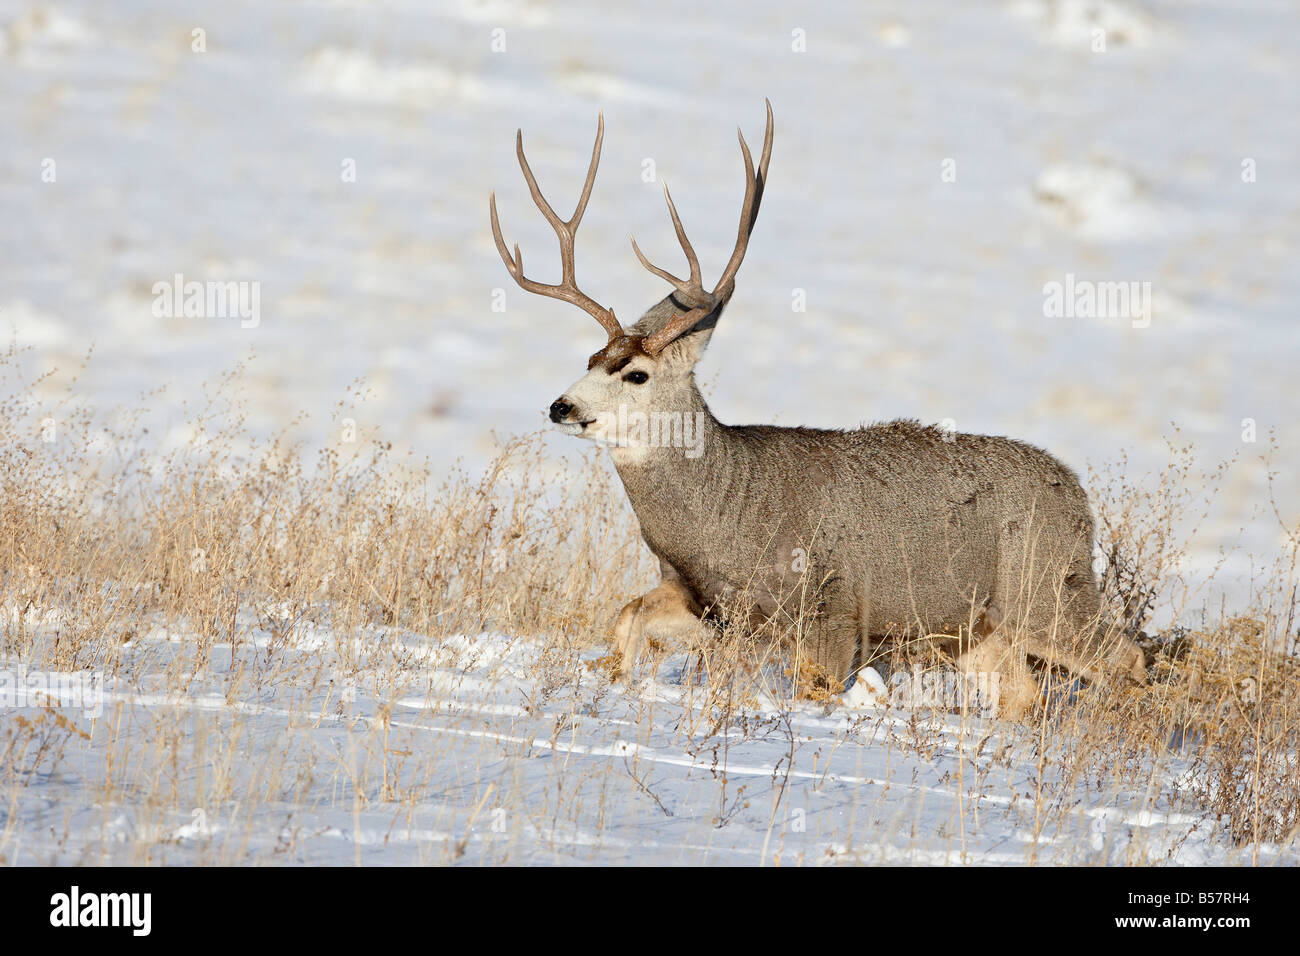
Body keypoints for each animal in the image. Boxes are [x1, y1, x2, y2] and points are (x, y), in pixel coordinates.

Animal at [489, 101, 1147, 717]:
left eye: (636, 373)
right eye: (591, 356)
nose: (561, 406)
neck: (727, 517)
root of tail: (1077, 495)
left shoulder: (832, 613)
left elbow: (815, 685)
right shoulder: (702, 599)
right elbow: (628, 617)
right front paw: (612, 683)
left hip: (1046, 590)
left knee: (1126, 657)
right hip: (980, 630)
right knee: (1023, 697)